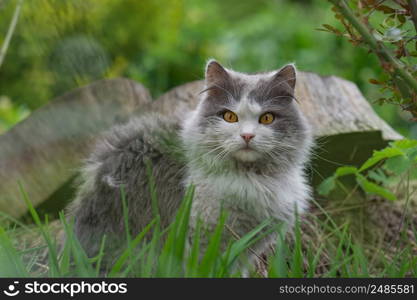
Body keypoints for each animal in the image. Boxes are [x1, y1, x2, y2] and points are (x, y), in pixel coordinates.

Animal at [66, 59, 310, 274]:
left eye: (267, 118)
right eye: (229, 117)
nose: (247, 136)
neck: (251, 178)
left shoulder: (246, 247)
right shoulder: (204, 236)